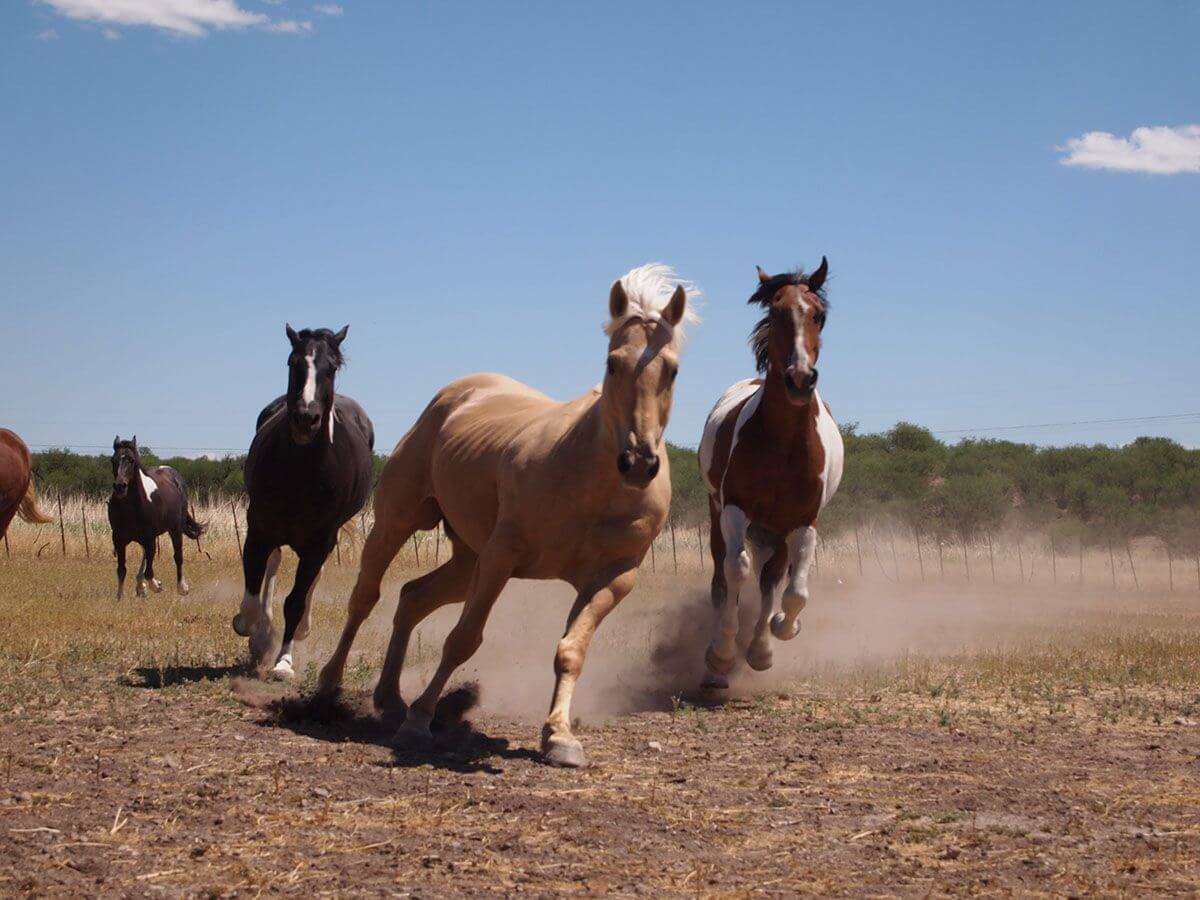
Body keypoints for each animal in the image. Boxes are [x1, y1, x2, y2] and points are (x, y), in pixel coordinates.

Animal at [106, 436, 205, 600]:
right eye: (113, 460)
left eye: (131, 460)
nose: (120, 486)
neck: (131, 507)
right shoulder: (118, 539)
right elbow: (121, 570)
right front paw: (120, 597)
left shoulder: (149, 537)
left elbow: (149, 571)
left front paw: (156, 585)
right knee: (146, 557)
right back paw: (140, 587)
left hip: (175, 529)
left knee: (177, 556)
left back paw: (181, 587)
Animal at [229, 328, 369, 681]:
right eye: (293, 363)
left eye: (331, 368)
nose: (306, 418)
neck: (302, 471)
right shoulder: (258, 529)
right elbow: (252, 596)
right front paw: (256, 633)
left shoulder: (320, 540)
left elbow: (295, 600)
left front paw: (284, 661)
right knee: (273, 563)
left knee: (310, 581)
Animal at [314, 262, 700, 768]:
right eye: (613, 363)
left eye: (672, 369)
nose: (637, 462)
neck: (593, 484)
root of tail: (456, 394)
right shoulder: (502, 556)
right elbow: (463, 639)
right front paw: (419, 724)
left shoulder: (613, 579)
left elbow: (570, 651)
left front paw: (559, 737)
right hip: (399, 524)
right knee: (365, 597)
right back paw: (329, 689)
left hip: (467, 562)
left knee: (413, 598)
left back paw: (390, 699)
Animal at [696, 256, 844, 696]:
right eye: (776, 313)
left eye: (819, 314)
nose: (800, 378)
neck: (784, 445)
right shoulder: (734, 509)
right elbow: (736, 571)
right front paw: (722, 654)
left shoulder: (804, 523)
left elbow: (793, 592)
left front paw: (779, 633)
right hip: (720, 516)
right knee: (724, 577)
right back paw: (717, 668)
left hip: (777, 532)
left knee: (771, 581)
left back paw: (760, 649)